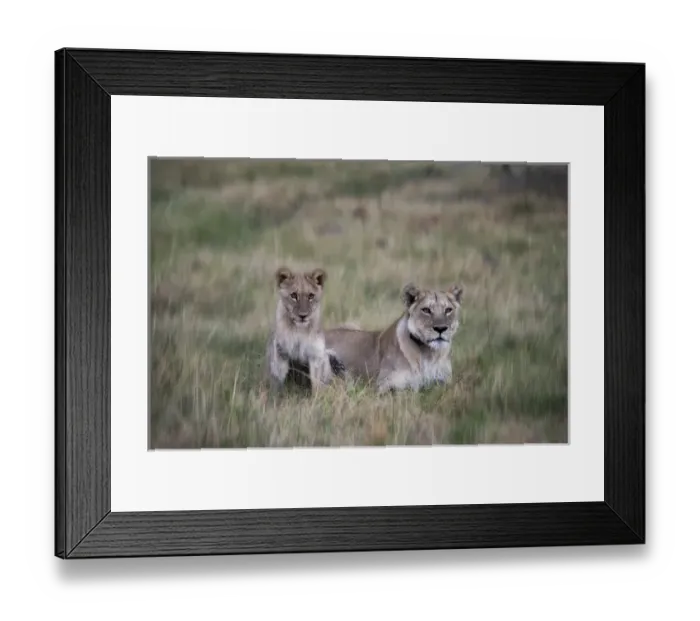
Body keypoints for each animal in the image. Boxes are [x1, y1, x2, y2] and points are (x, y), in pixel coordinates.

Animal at [324, 282, 464, 394]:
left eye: (448, 310)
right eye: (426, 310)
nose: (441, 328)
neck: (428, 353)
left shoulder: (445, 383)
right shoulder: (383, 385)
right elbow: (406, 390)